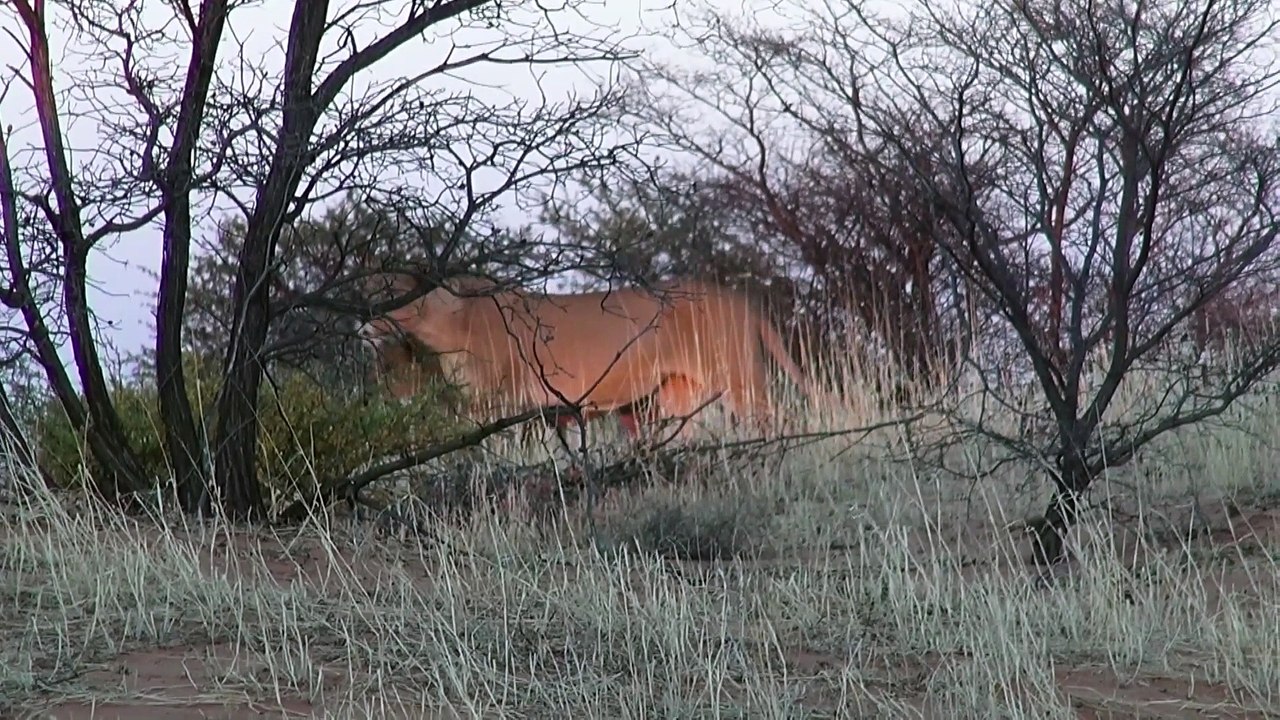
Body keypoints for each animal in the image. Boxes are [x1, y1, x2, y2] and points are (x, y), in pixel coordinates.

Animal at [358, 274, 813, 438]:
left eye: (389, 296)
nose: (362, 322)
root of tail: (742, 300)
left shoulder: (500, 402)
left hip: (741, 380)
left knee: (777, 418)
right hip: (681, 391)